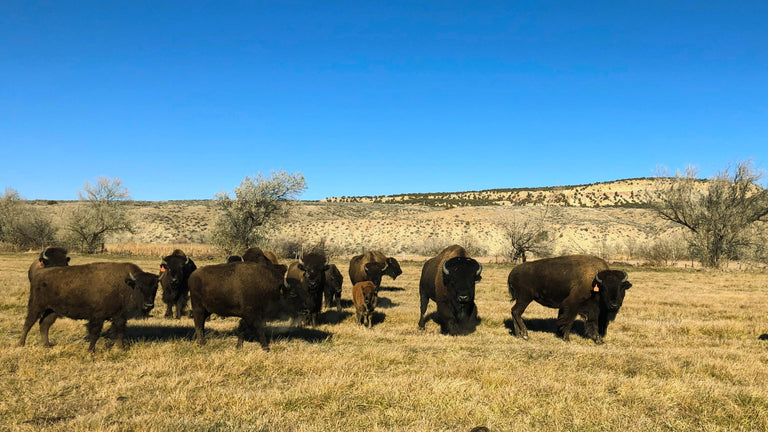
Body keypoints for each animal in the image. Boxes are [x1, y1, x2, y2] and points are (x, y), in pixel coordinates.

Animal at [19, 262, 161, 352]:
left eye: (155, 287)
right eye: (139, 287)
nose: (148, 305)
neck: (126, 284)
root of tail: (39, 274)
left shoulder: (120, 316)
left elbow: (120, 331)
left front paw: (121, 348)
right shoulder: (97, 317)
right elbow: (95, 333)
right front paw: (91, 350)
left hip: (52, 310)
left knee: (44, 324)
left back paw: (47, 345)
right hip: (36, 306)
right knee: (28, 323)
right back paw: (21, 344)